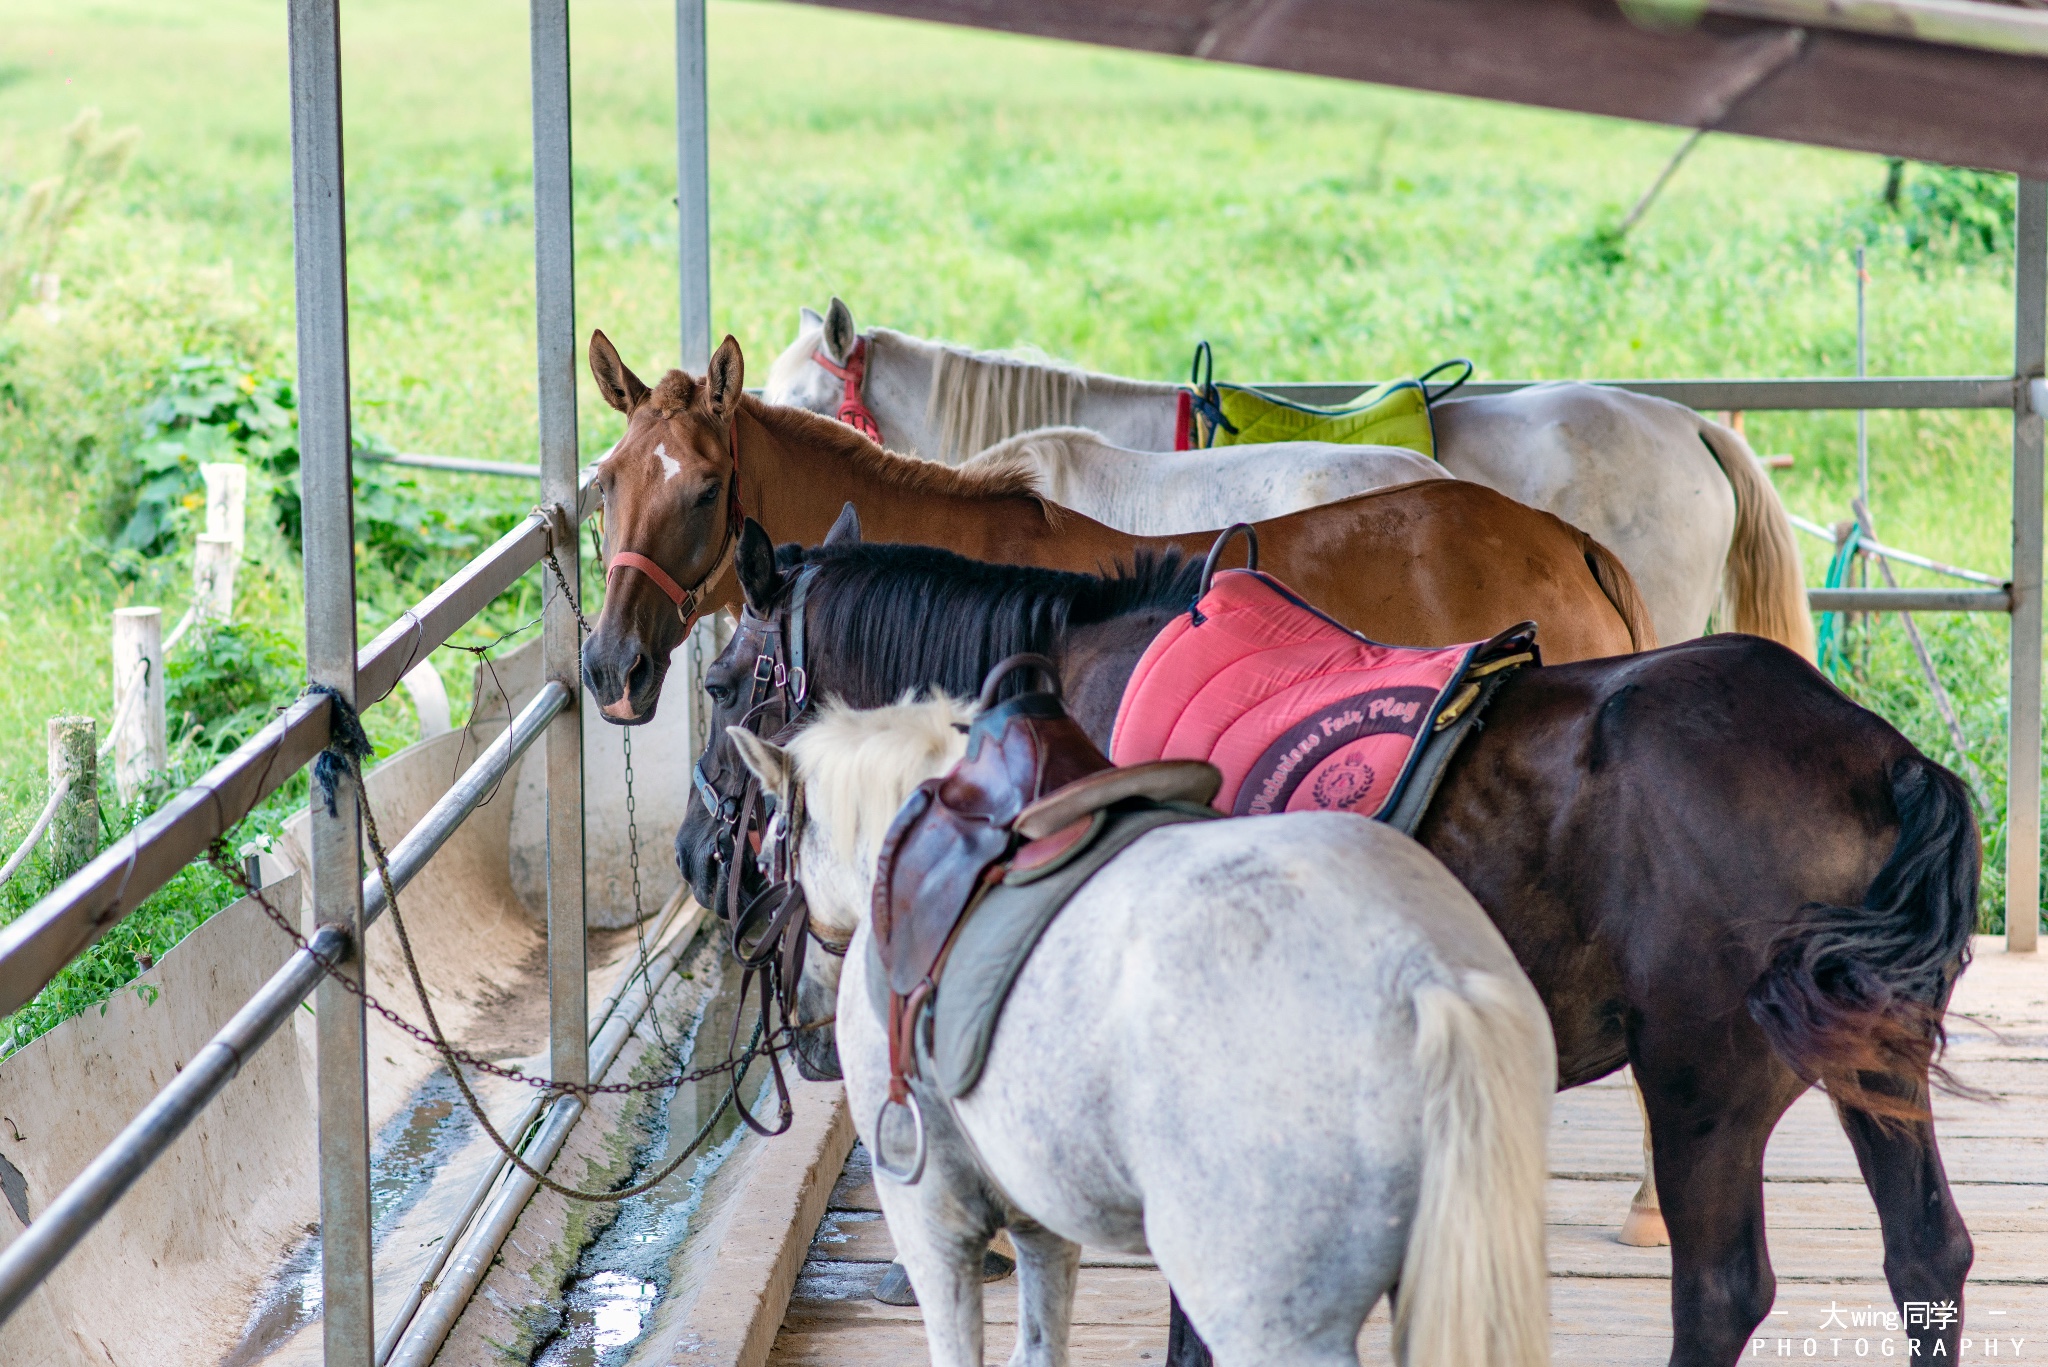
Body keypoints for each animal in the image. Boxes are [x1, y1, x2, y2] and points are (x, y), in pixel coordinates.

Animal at [729, 684, 1540, 1367]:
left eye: (769, 847)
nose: (810, 1043)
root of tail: (1422, 976)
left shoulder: (931, 1212)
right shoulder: (1041, 1210)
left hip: (1266, 1312)